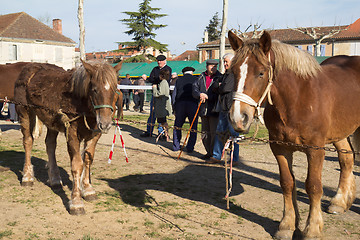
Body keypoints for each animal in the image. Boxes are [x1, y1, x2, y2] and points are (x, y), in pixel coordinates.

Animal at [14, 59, 122, 214]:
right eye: (94, 90)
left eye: (114, 89)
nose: (105, 124)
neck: (81, 103)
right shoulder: (71, 132)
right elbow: (77, 165)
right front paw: (76, 202)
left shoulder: (94, 135)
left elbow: (88, 160)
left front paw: (88, 190)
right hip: (24, 113)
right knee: (28, 141)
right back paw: (27, 177)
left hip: (52, 121)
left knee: (50, 144)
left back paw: (54, 179)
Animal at [228, 31, 358, 239]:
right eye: (233, 71)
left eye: (261, 73)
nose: (238, 117)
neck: (296, 100)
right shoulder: (279, 148)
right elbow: (287, 183)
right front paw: (287, 225)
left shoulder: (315, 150)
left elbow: (313, 186)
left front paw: (312, 228)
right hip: (340, 133)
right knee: (346, 159)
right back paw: (339, 202)